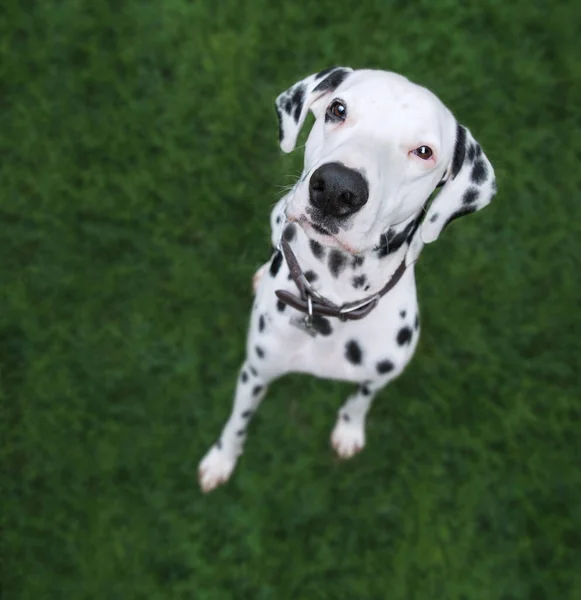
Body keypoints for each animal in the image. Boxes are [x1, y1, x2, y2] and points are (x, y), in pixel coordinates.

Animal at [198, 67, 494, 492]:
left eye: (423, 152)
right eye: (338, 109)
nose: (337, 188)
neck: (334, 297)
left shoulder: (379, 375)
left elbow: (360, 400)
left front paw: (349, 431)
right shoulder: (255, 371)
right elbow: (238, 421)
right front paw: (221, 459)